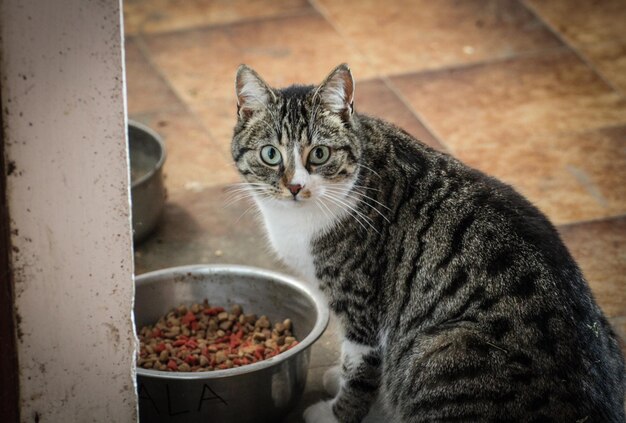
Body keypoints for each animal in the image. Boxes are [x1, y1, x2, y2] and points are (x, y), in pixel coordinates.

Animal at [230, 63, 624, 423]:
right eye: (270, 154)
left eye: (319, 154)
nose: (295, 186)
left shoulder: (362, 306)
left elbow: (358, 370)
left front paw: (335, 414)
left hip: (441, 349)